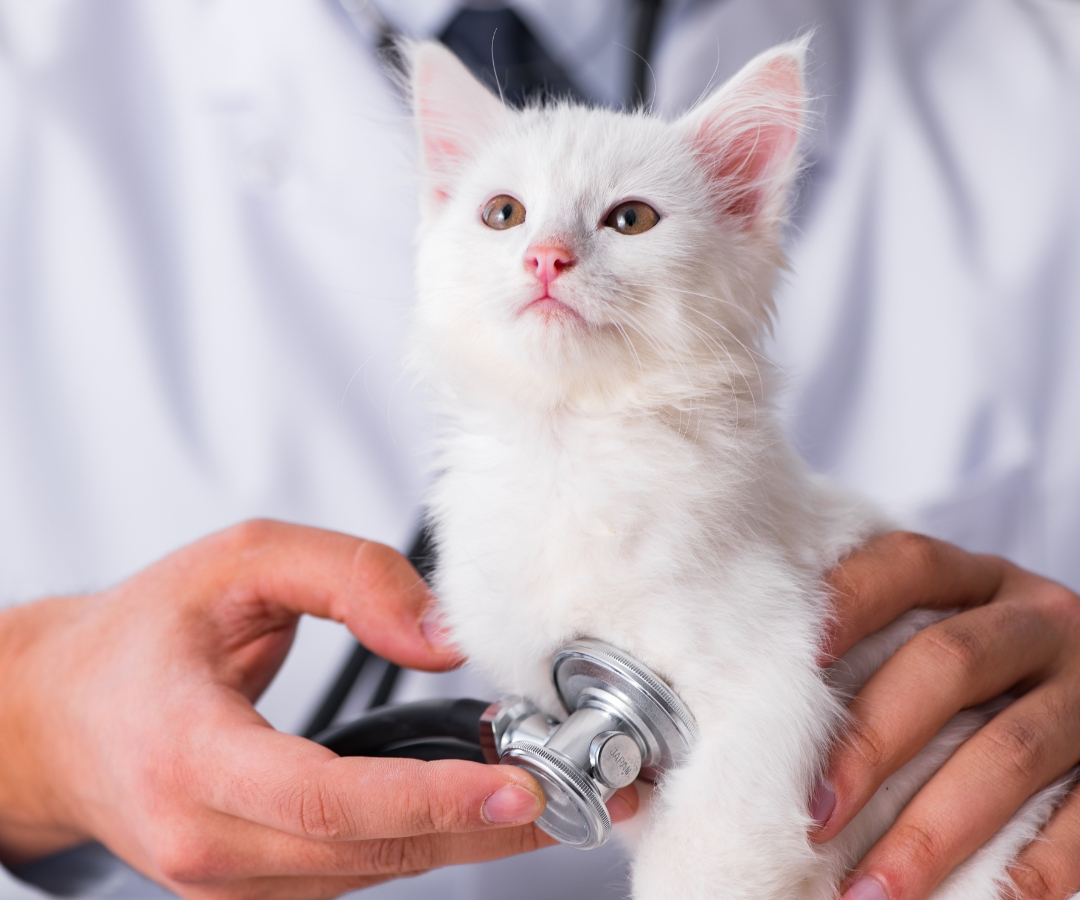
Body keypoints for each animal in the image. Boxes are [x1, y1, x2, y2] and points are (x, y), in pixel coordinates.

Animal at [403, 38, 1062, 894]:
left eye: (631, 220)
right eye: (503, 213)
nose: (547, 258)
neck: (571, 448)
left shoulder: (767, 686)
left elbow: (710, 854)